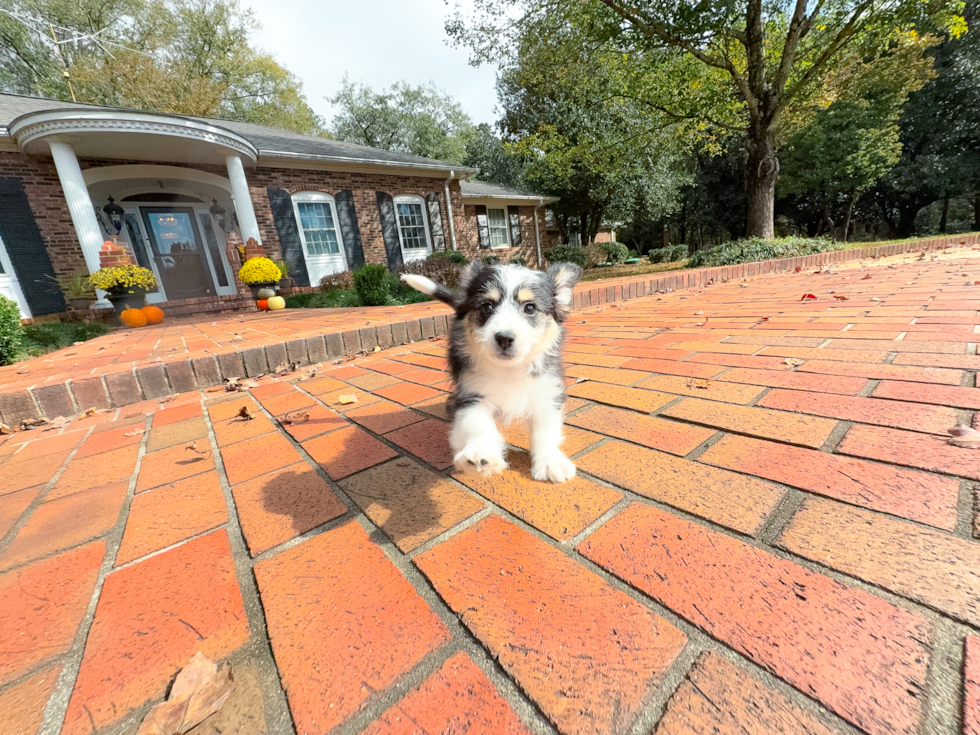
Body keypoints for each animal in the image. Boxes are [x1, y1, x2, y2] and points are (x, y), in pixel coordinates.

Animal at [400, 260, 580, 484]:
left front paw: (550, 462)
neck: (508, 370)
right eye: (486, 307)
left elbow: (545, 428)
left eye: (530, 307)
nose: (504, 338)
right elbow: (477, 423)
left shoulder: (546, 389)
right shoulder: (471, 393)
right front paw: (480, 452)